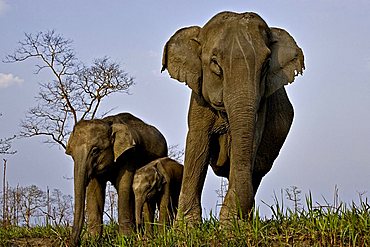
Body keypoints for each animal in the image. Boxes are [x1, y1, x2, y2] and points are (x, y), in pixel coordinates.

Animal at [64, 112, 166, 245]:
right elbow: (94, 190)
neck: (108, 123)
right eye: (72, 155)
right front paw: (92, 240)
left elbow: (125, 185)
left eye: (95, 151)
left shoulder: (130, 154)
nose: (73, 242)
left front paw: (126, 239)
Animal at [161, 11, 304, 224]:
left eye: (266, 64)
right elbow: (198, 145)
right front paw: (187, 227)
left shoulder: (262, 105)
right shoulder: (199, 99)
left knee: (257, 171)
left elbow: (249, 144)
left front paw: (230, 225)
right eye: (215, 64)